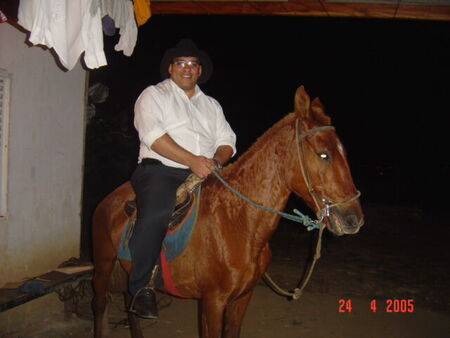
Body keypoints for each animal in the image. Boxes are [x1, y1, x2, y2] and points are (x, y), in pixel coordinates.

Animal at [92, 86, 366, 338]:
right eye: (324, 155)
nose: (354, 219)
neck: (238, 221)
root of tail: (108, 200)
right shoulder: (213, 301)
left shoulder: (242, 298)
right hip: (104, 263)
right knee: (101, 303)